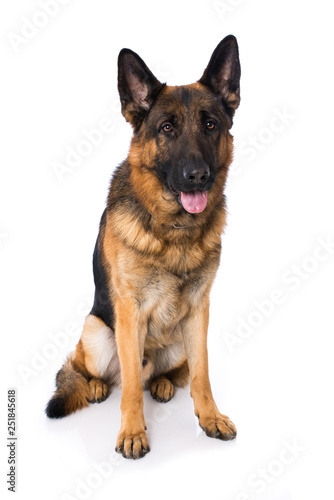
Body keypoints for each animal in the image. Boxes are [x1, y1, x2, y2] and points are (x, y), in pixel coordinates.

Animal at [46, 33, 240, 458]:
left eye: (211, 125)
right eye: (167, 128)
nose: (198, 176)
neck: (174, 229)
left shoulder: (199, 310)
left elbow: (201, 374)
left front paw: (209, 417)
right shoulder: (129, 311)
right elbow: (132, 384)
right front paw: (133, 432)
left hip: (178, 340)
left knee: (167, 372)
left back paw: (164, 383)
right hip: (97, 332)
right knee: (89, 369)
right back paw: (96, 385)